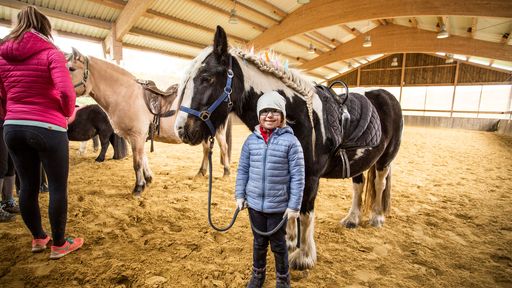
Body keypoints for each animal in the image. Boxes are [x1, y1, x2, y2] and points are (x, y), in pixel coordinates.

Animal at [66, 49, 232, 196]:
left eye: (71, 68)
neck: (126, 94)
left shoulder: (137, 135)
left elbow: (137, 162)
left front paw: (138, 187)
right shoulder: (135, 136)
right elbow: (143, 158)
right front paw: (148, 179)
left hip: (217, 132)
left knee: (223, 148)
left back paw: (226, 172)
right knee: (207, 149)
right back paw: (201, 172)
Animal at [176, 25, 404, 268]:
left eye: (206, 78)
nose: (181, 129)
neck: (298, 115)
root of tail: (385, 95)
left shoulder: (310, 177)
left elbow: (304, 212)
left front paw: (303, 256)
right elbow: (289, 212)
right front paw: (289, 242)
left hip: (385, 160)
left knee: (380, 183)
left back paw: (377, 217)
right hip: (359, 162)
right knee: (358, 185)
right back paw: (352, 219)